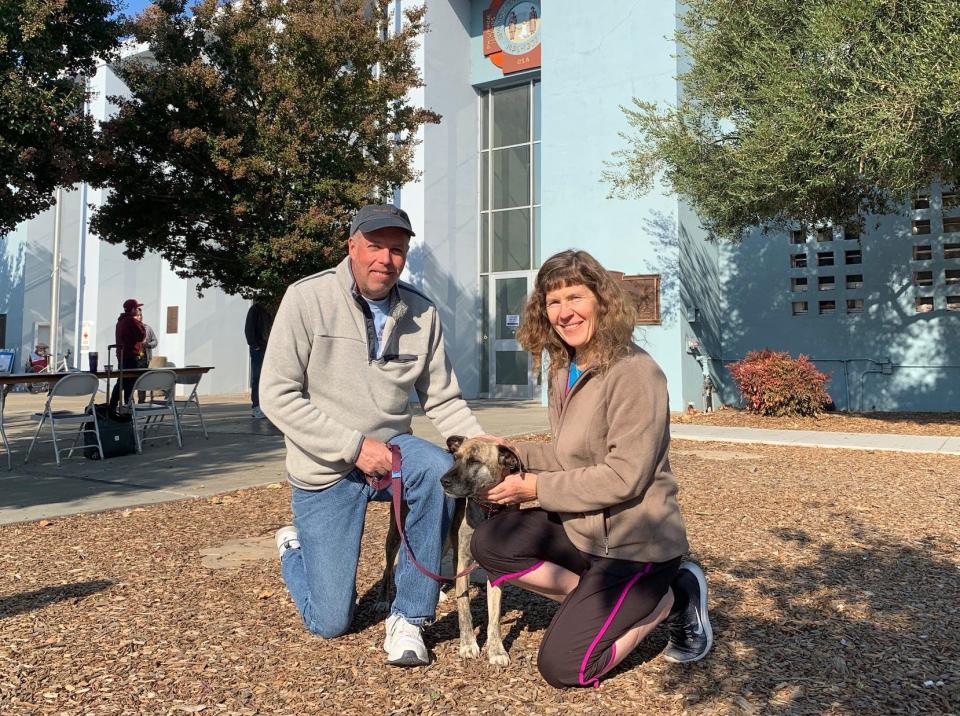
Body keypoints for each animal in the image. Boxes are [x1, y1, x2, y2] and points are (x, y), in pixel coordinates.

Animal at [376, 436, 524, 664]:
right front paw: (468, 644)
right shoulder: (462, 562)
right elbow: (464, 609)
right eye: (456, 458)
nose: (442, 481)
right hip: (397, 533)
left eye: (474, 461)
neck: (488, 510)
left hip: (444, 540)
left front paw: (497, 650)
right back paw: (383, 598)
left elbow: (494, 617)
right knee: (389, 564)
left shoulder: (494, 570)